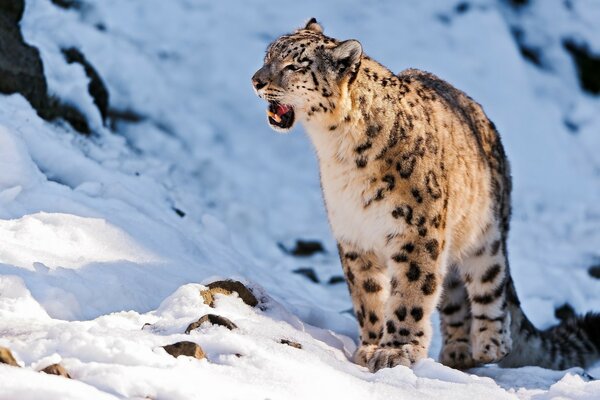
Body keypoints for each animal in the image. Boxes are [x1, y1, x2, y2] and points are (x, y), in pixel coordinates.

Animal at [251, 17, 596, 370]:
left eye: (294, 65)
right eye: (268, 55)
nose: (256, 81)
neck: (338, 152)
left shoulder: (415, 231)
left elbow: (410, 291)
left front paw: (395, 350)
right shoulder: (353, 235)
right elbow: (367, 295)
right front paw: (370, 346)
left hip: (483, 233)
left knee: (492, 281)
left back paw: (489, 344)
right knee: (454, 293)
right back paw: (457, 352)